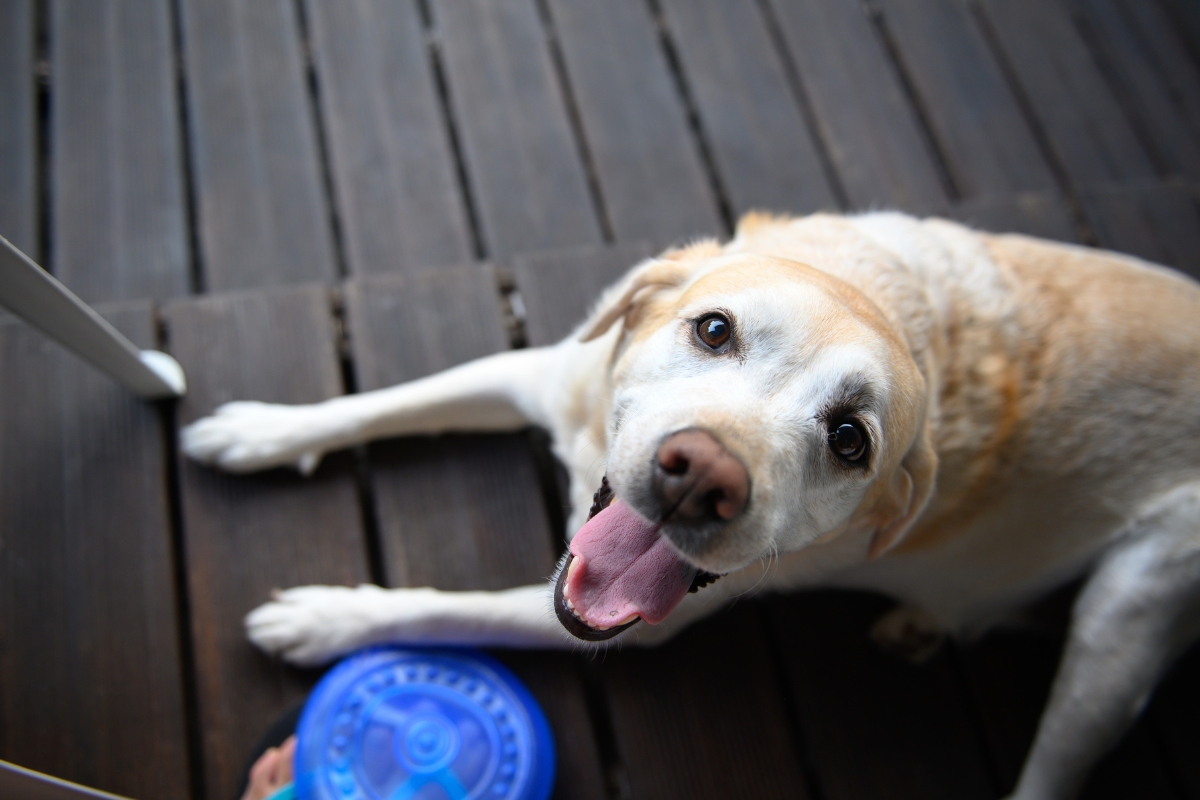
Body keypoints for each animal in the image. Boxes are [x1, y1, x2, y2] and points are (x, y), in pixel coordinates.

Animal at [182, 212, 1200, 800]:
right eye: (714, 329)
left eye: (850, 440)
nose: (701, 473)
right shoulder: (540, 372)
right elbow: (386, 402)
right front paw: (258, 431)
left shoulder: (623, 623)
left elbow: (445, 610)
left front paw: (326, 617)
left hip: (1127, 617)